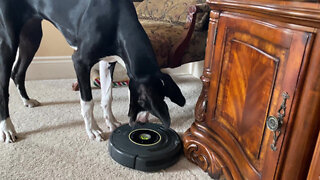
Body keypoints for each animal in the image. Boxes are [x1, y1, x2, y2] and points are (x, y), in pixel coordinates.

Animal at [0, 0, 185, 143]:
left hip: (31, 37)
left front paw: (111, 121)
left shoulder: (108, 61)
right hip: (8, 43)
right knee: (4, 88)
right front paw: (93, 130)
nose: (141, 122)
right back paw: (7, 128)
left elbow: (107, 96)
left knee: (17, 73)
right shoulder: (80, 62)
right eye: (142, 101)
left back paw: (27, 100)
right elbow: (88, 102)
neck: (116, 20)